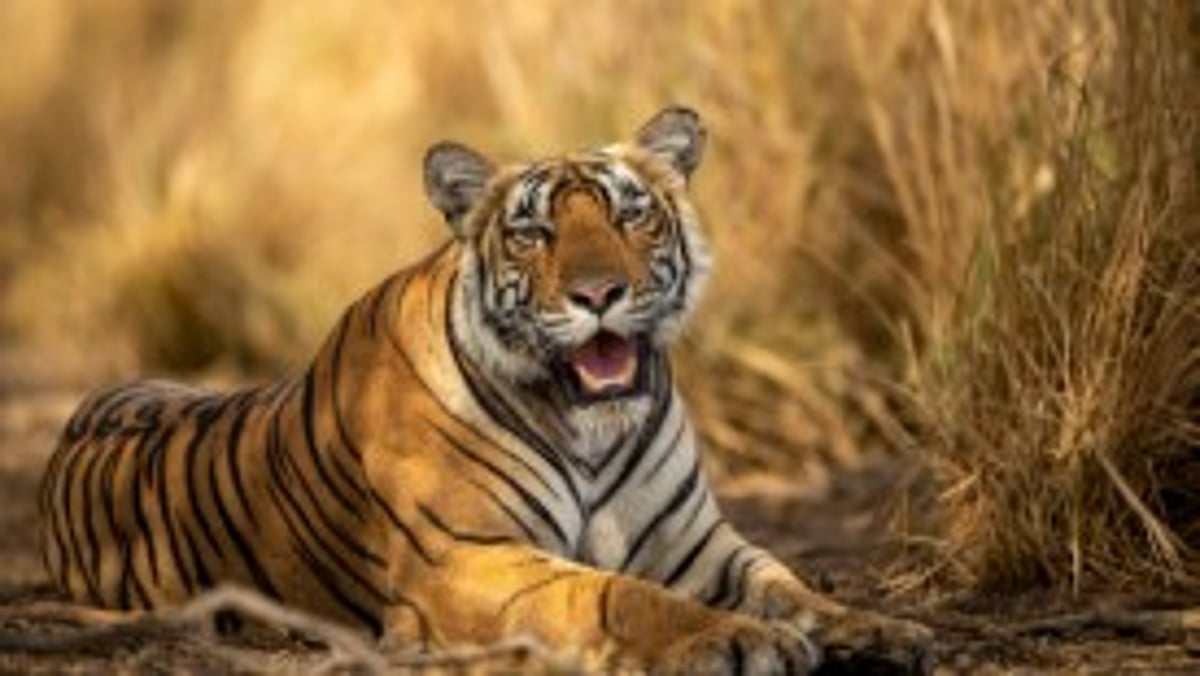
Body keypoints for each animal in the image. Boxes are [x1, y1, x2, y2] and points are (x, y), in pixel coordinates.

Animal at [39, 107, 929, 673]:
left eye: (630, 216)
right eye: (534, 232)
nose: (599, 293)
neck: (590, 427)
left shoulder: (695, 542)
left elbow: (785, 583)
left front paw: (879, 627)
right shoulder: (466, 555)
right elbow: (616, 595)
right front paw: (736, 641)